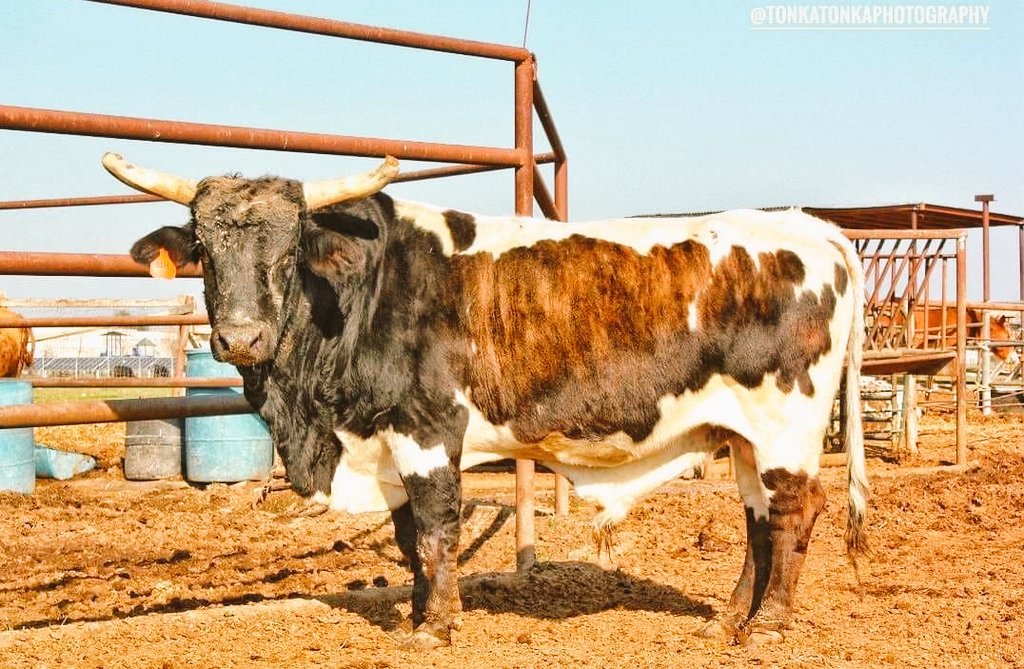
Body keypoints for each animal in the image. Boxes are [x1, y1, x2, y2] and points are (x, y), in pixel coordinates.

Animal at [107, 152, 869, 649]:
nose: (240, 336)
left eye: (290, 249)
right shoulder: (386, 441)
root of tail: (814, 229)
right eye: (204, 250)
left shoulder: (425, 430)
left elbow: (436, 529)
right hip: (744, 433)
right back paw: (732, 617)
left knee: (796, 511)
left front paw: (437, 627)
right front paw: (422, 612)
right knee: (758, 521)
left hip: (786, 423)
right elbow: (409, 538)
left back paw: (768, 625)